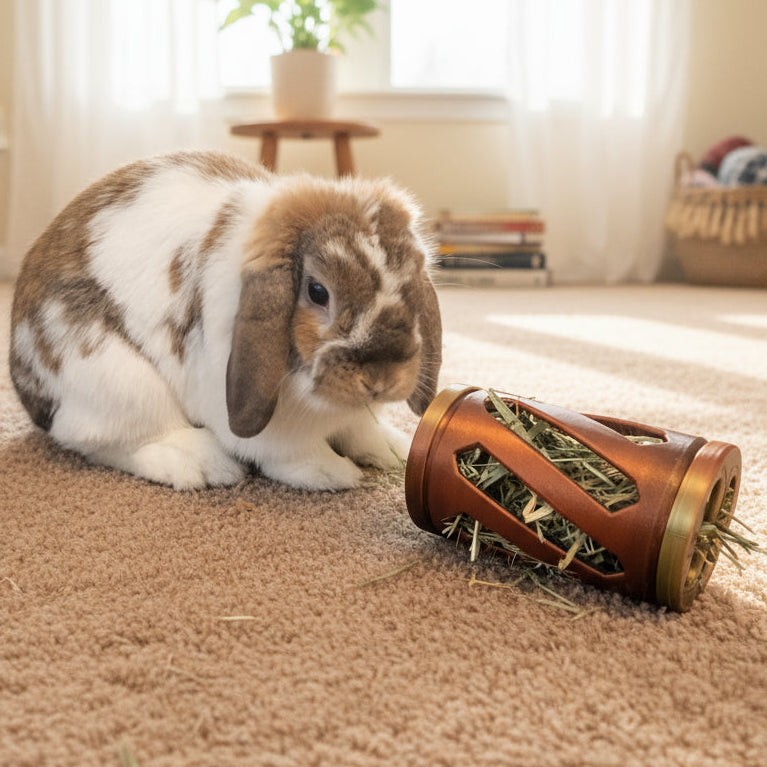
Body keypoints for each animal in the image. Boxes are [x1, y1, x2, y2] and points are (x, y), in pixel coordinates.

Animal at [10, 150, 442, 491]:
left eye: (412, 282)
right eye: (318, 292)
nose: (381, 380)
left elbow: (361, 430)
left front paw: (397, 451)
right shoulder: (270, 425)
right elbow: (295, 455)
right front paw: (335, 473)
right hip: (115, 379)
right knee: (105, 440)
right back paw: (204, 465)